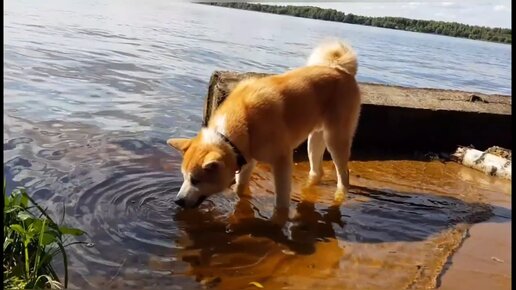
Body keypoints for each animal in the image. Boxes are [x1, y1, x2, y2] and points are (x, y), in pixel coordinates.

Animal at [167, 39, 360, 210]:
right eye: (184, 177)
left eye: (195, 180)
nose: (178, 201)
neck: (245, 122)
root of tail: (340, 69)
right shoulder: (247, 159)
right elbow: (240, 188)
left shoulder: (282, 160)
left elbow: (281, 201)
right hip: (315, 139)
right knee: (317, 171)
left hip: (335, 139)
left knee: (344, 175)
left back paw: (339, 196)